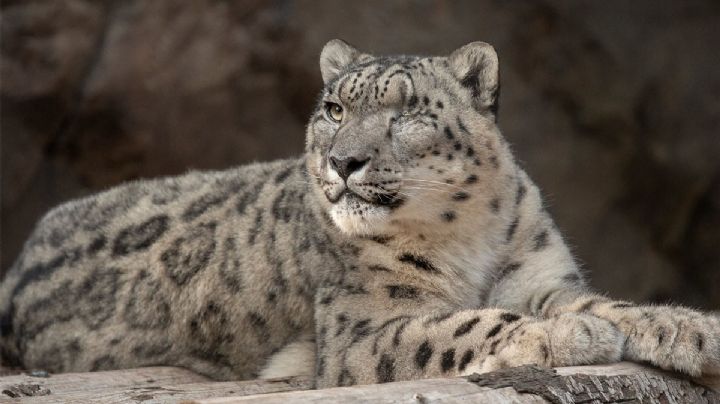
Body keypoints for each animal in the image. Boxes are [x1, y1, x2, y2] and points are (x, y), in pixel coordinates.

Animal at [1, 39, 719, 389]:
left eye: (407, 112)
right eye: (335, 109)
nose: (343, 162)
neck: (472, 239)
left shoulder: (541, 277)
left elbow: (611, 304)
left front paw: (695, 331)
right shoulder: (362, 329)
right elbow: (457, 324)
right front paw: (564, 336)